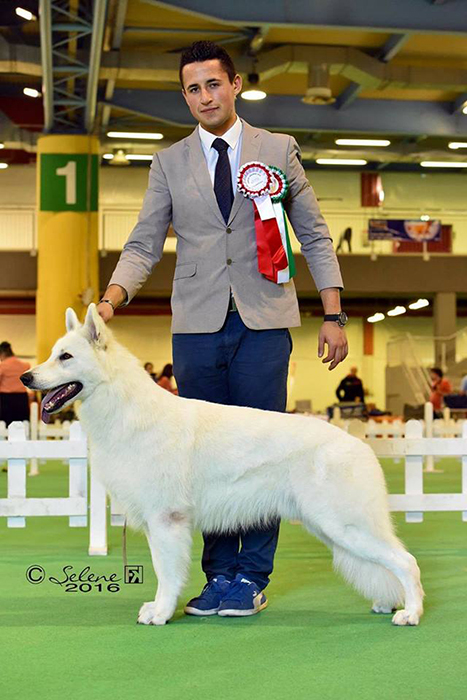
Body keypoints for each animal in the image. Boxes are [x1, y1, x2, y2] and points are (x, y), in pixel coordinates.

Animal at [21, 304, 424, 628]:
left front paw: (161, 614)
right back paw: (387, 602)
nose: (26, 377)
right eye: (53, 354)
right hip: (333, 528)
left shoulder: (166, 521)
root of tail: (360, 445)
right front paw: (160, 608)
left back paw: (411, 613)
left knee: (406, 562)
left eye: (66, 357)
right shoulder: (157, 523)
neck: (124, 406)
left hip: (344, 526)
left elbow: (166, 573)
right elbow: (162, 570)